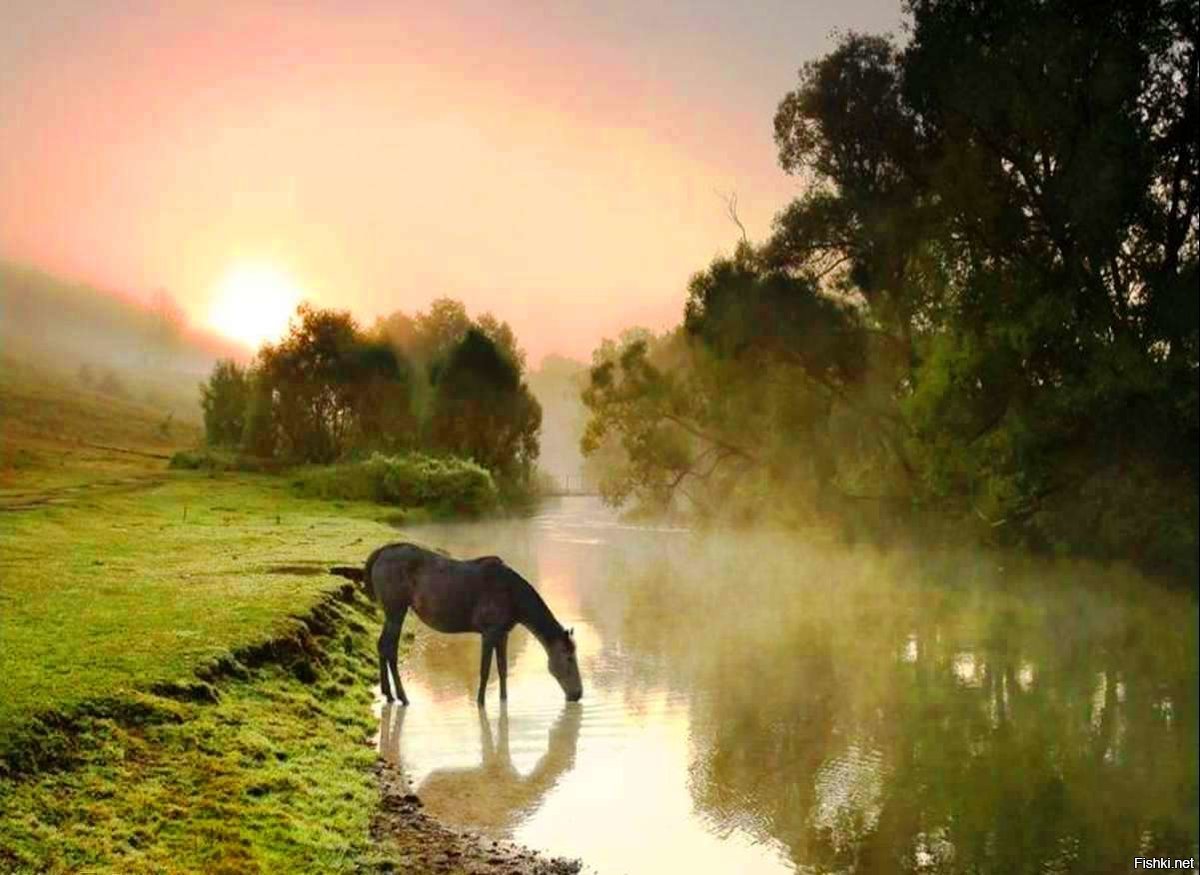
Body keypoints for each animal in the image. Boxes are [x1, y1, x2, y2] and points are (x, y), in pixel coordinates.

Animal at [333, 542, 585, 705]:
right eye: (569, 658)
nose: (578, 693)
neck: (515, 600)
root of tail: (379, 554)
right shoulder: (489, 631)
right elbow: (485, 670)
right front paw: (480, 702)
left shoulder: (503, 633)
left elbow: (502, 670)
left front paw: (504, 700)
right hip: (396, 609)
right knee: (389, 648)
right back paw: (402, 696)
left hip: (393, 611)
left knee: (381, 645)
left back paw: (388, 692)